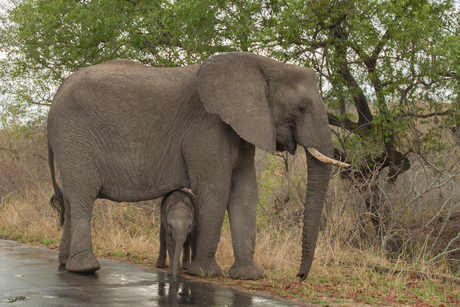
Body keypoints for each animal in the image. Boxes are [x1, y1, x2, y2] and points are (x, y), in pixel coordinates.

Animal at [48, 51, 346, 280]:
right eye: (301, 108)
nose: (299, 276)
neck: (264, 64)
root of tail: (56, 97)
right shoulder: (208, 128)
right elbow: (216, 190)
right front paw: (204, 273)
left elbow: (245, 192)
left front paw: (249, 276)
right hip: (74, 138)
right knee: (83, 196)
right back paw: (86, 268)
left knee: (73, 202)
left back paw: (65, 263)